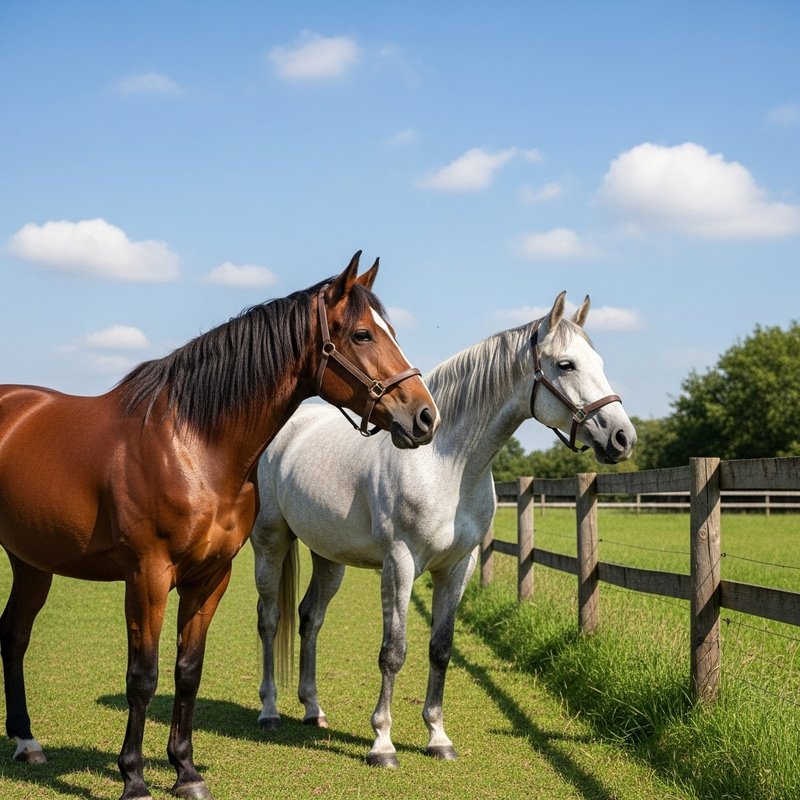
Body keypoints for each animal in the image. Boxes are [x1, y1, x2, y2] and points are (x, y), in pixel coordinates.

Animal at [0, 251, 439, 800]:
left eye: (392, 330)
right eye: (362, 335)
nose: (425, 417)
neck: (190, 445)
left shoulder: (211, 577)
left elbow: (188, 672)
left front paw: (185, 771)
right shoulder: (147, 576)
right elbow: (142, 677)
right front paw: (134, 778)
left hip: (31, 562)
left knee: (14, 636)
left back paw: (26, 742)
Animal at [251, 290, 636, 767]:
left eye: (597, 362)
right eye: (566, 364)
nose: (623, 438)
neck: (444, 464)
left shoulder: (457, 567)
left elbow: (441, 648)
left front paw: (437, 737)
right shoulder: (399, 564)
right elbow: (393, 652)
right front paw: (382, 744)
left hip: (327, 557)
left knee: (310, 619)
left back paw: (312, 710)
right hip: (270, 543)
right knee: (270, 620)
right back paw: (269, 711)